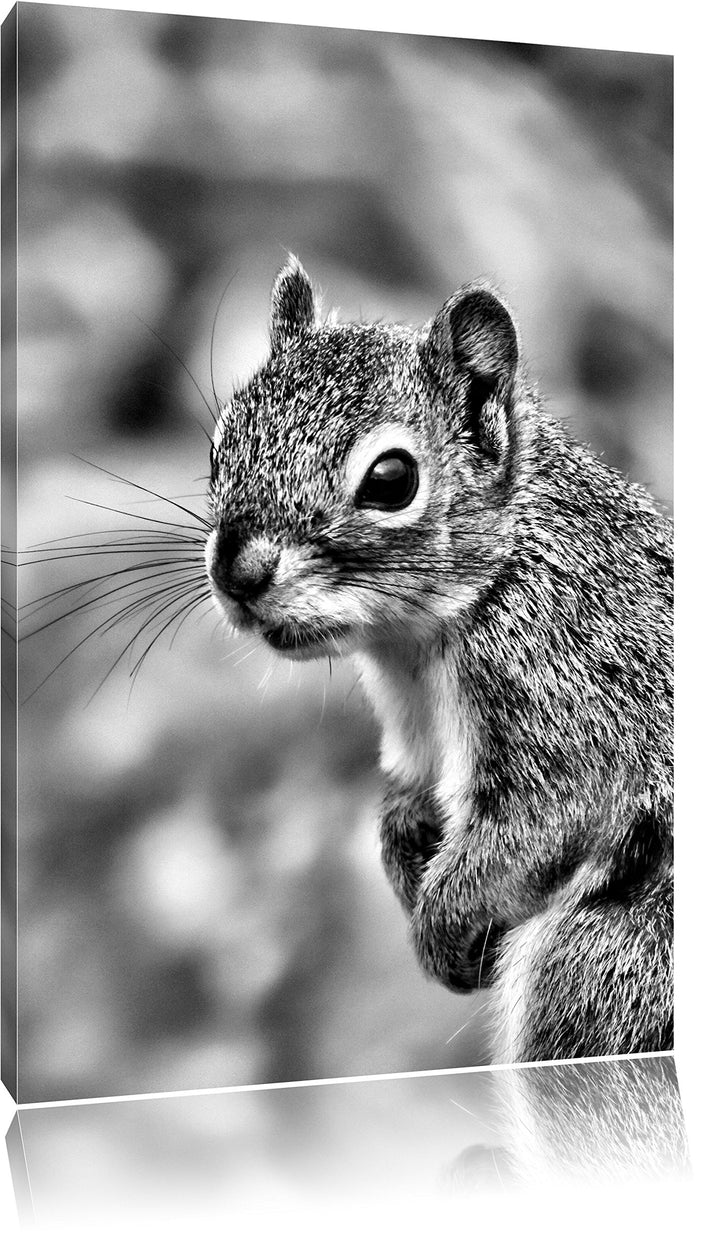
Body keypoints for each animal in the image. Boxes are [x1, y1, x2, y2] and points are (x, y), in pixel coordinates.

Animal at [205, 256, 673, 1064]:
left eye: (392, 479)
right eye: (217, 447)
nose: (237, 573)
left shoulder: (568, 691)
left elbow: (537, 825)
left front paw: (443, 928)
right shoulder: (414, 738)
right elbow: (405, 807)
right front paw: (405, 855)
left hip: (605, 966)